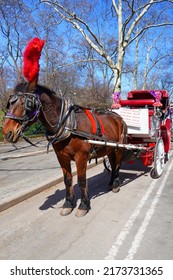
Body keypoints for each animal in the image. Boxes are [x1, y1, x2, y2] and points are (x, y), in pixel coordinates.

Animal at [2, 80, 127, 217]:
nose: (7, 132)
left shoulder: (81, 157)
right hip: (110, 149)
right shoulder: (61, 157)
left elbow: (81, 181)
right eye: (9, 104)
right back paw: (111, 183)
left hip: (119, 148)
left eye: (26, 104)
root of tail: (119, 118)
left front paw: (83, 206)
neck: (68, 124)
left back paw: (115, 184)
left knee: (117, 165)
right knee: (112, 163)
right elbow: (67, 180)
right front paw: (68, 204)